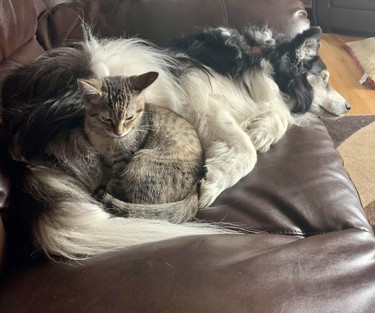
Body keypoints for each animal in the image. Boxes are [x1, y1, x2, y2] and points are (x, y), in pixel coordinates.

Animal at [77, 71, 206, 222]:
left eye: (129, 117)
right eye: (107, 119)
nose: (119, 132)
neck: (104, 137)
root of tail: (194, 190)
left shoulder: (123, 161)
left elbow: (116, 181)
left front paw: (109, 187)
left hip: (140, 163)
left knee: (138, 207)